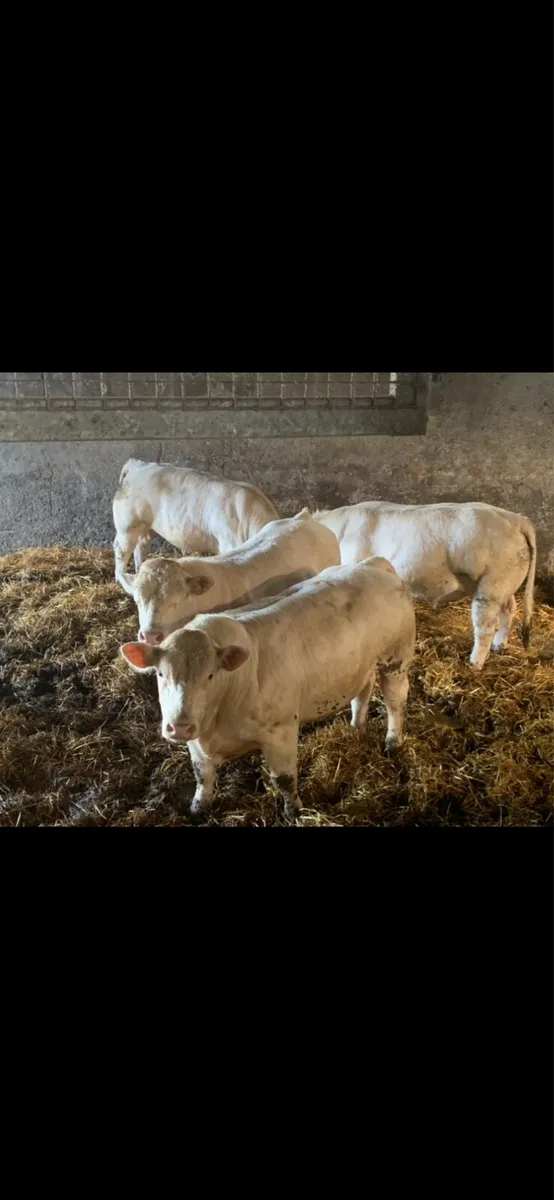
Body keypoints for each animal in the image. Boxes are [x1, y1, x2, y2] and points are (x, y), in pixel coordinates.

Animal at [112, 458, 278, 584]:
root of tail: (138, 465)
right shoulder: (228, 545)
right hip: (127, 526)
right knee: (121, 550)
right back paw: (121, 579)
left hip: (146, 527)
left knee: (140, 546)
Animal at [119, 556, 416, 818]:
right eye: (160, 673)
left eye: (211, 675)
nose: (179, 727)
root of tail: (373, 564)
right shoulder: (197, 737)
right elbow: (201, 775)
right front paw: (197, 808)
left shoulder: (281, 729)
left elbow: (284, 779)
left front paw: (293, 812)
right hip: (362, 664)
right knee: (363, 691)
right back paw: (357, 726)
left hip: (396, 657)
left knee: (394, 701)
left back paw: (393, 742)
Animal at [314, 501, 537, 670]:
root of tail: (516, 519)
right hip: (506, 584)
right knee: (509, 609)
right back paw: (500, 645)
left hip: (491, 587)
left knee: (485, 627)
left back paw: (474, 663)